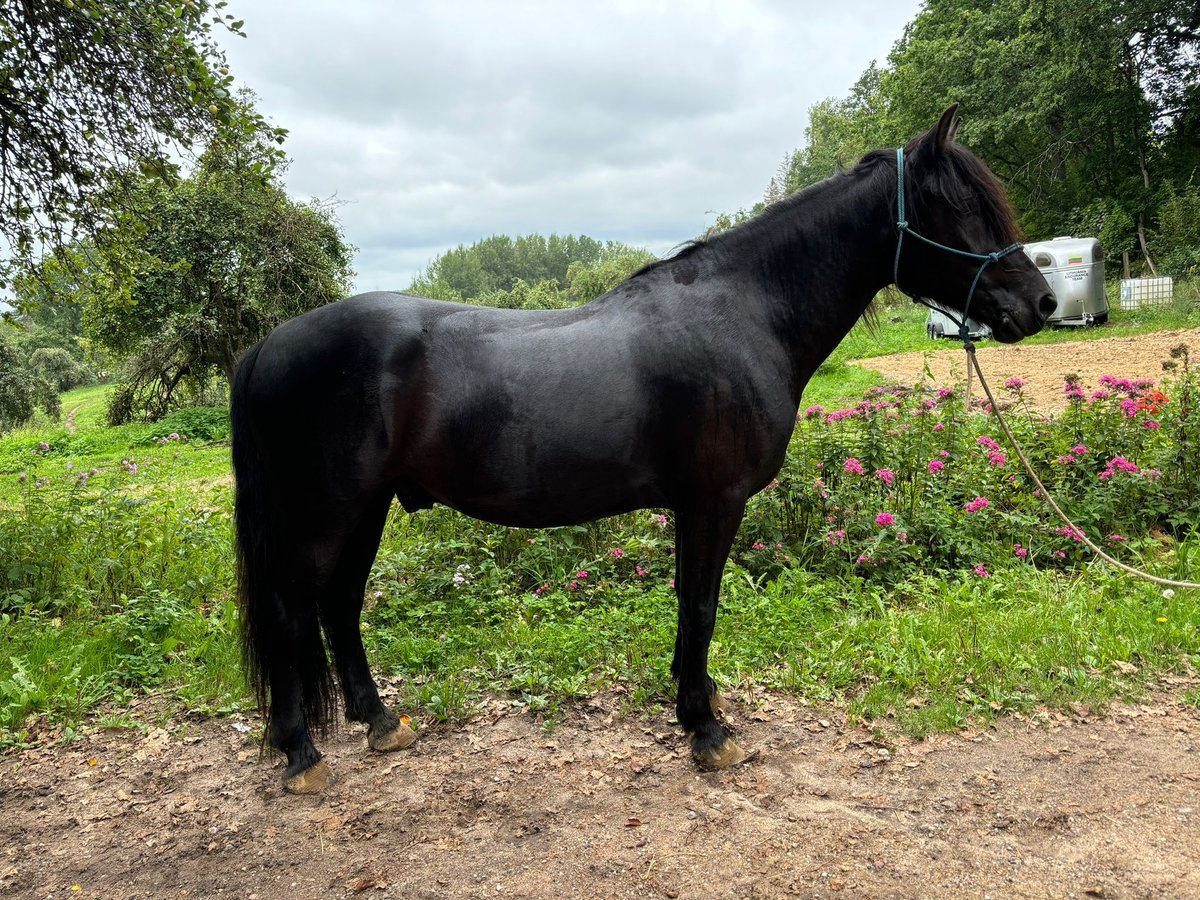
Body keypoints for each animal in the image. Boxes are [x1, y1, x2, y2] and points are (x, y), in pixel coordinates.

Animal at [231, 107, 1051, 796]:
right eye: (963, 208)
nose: (1039, 305)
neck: (744, 313)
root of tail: (267, 345)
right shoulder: (715, 501)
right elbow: (703, 603)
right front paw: (708, 731)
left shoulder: (693, 506)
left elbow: (691, 603)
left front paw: (699, 704)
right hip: (325, 514)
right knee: (289, 611)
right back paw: (300, 752)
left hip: (364, 509)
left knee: (339, 605)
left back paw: (381, 723)